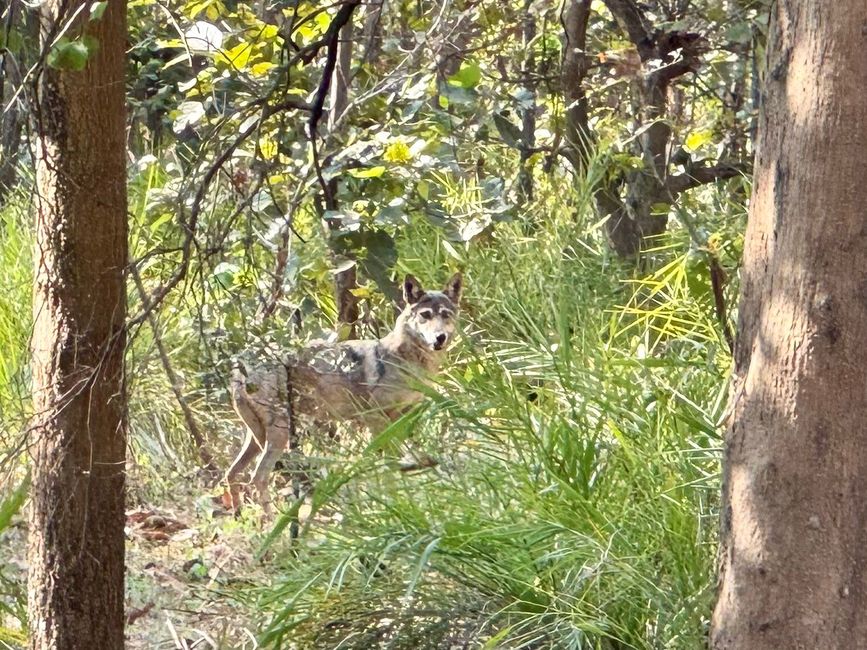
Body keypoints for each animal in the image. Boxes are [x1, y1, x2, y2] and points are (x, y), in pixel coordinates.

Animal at [224, 272, 463, 515]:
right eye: (425, 315)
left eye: (445, 315)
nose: (439, 337)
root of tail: (240, 366)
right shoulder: (375, 419)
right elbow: (389, 464)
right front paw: (396, 501)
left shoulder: (402, 418)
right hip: (278, 433)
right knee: (257, 477)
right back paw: (275, 521)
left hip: (257, 437)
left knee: (231, 473)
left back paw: (240, 515)